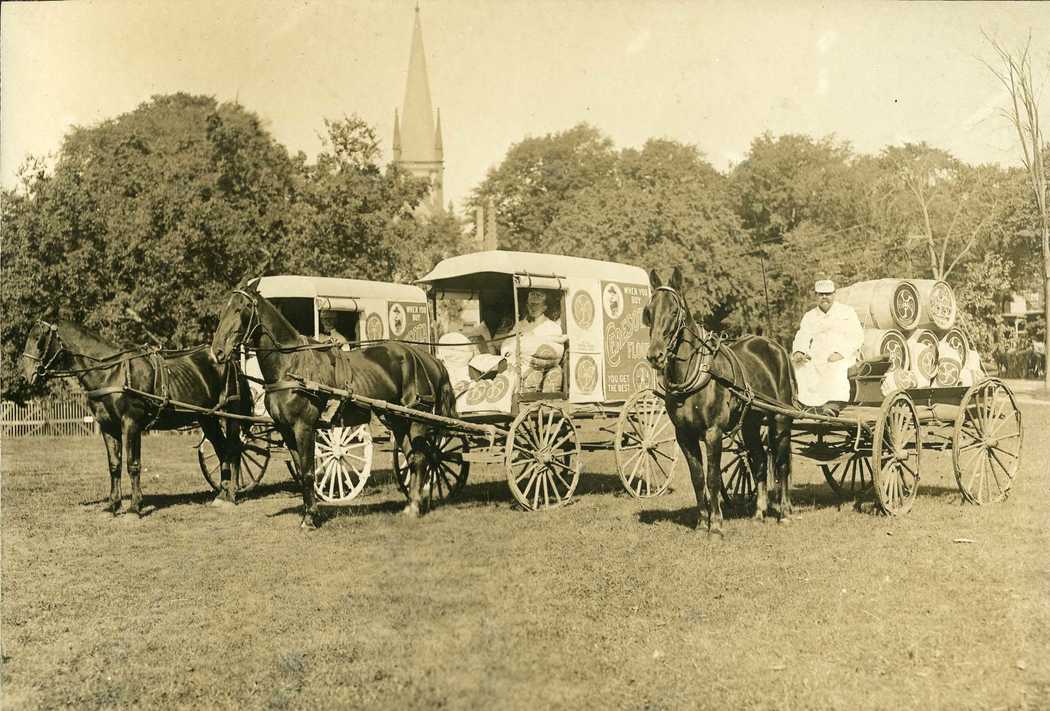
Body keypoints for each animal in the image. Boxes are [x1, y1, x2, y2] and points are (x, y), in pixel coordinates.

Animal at [21, 319, 250, 512]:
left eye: (39, 340)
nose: (25, 375)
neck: (111, 373)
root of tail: (227, 359)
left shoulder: (131, 423)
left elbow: (133, 464)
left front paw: (134, 507)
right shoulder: (108, 426)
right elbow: (114, 465)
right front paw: (113, 505)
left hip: (229, 414)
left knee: (233, 449)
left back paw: (231, 495)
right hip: (207, 418)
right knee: (222, 450)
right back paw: (222, 494)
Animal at [209, 283, 459, 527]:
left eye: (240, 309)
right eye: (223, 310)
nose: (218, 351)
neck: (291, 365)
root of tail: (428, 358)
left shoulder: (304, 427)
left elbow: (309, 472)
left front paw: (310, 518)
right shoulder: (286, 430)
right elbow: (301, 470)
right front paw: (309, 512)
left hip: (417, 419)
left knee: (421, 459)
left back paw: (415, 506)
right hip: (397, 420)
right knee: (413, 458)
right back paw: (413, 504)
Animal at [638, 268, 793, 535]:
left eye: (675, 311)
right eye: (649, 311)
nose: (655, 355)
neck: (699, 372)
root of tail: (774, 345)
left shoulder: (713, 432)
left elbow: (712, 478)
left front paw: (717, 525)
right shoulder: (684, 435)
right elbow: (698, 478)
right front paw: (702, 523)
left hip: (781, 418)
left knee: (781, 464)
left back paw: (783, 512)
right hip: (751, 424)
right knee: (760, 460)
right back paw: (759, 513)